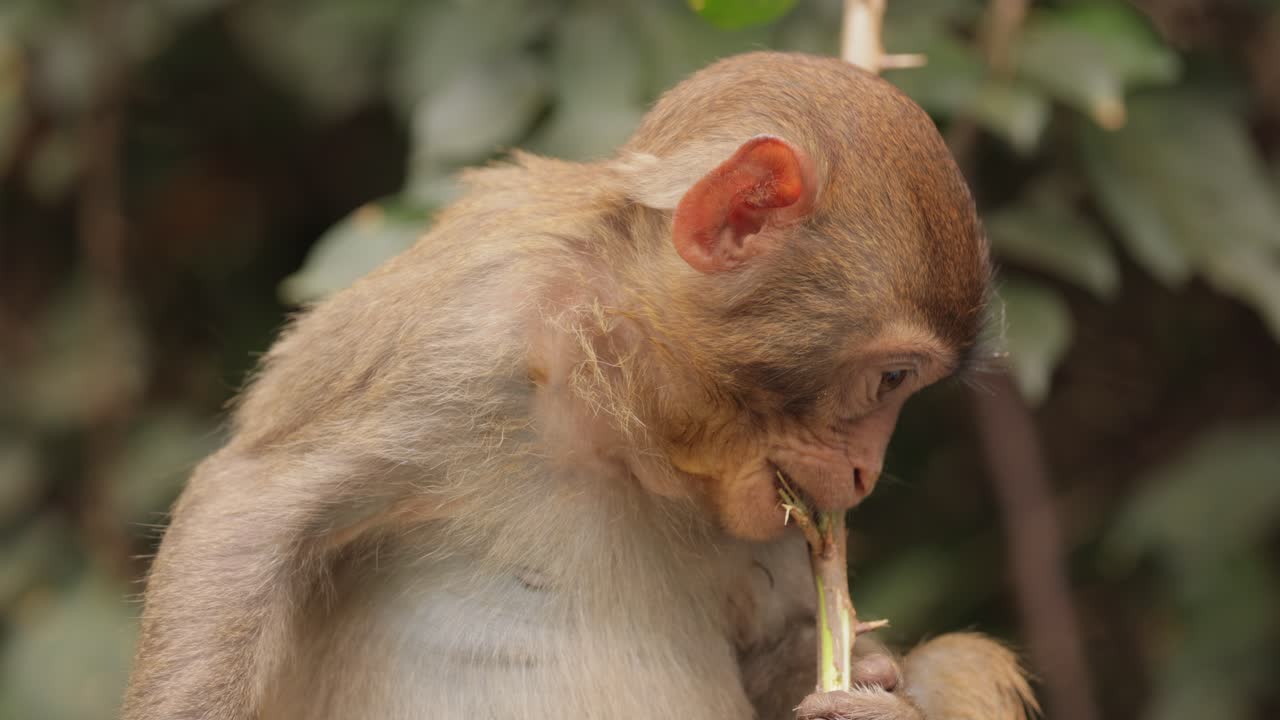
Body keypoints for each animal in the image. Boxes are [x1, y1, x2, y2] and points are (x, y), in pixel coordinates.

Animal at [123, 52, 1037, 720]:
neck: (618, 417)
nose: (864, 476)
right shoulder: (463, 335)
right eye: (892, 377)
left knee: (960, 657)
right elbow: (245, 512)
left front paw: (875, 689)